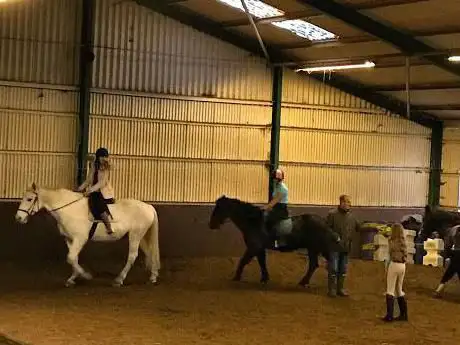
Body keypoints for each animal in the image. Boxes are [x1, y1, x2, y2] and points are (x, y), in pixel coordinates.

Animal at [14, 181, 161, 286]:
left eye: (29, 199)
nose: (19, 218)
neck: (69, 209)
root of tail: (148, 206)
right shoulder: (70, 239)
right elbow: (73, 258)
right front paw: (72, 279)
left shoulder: (80, 239)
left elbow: (71, 257)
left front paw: (86, 276)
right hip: (139, 236)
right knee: (149, 252)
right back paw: (152, 277)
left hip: (135, 236)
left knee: (132, 256)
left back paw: (119, 280)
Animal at [208, 195, 342, 286]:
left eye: (219, 208)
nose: (211, 225)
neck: (253, 221)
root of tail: (324, 222)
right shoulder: (260, 248)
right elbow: (262, 262)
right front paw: (264, 278)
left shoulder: (253, 247)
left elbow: (243, 261)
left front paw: (236, 277)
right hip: (316, 248)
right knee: (319, 264)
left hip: (314, 248)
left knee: (315, 264)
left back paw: (305, 282)